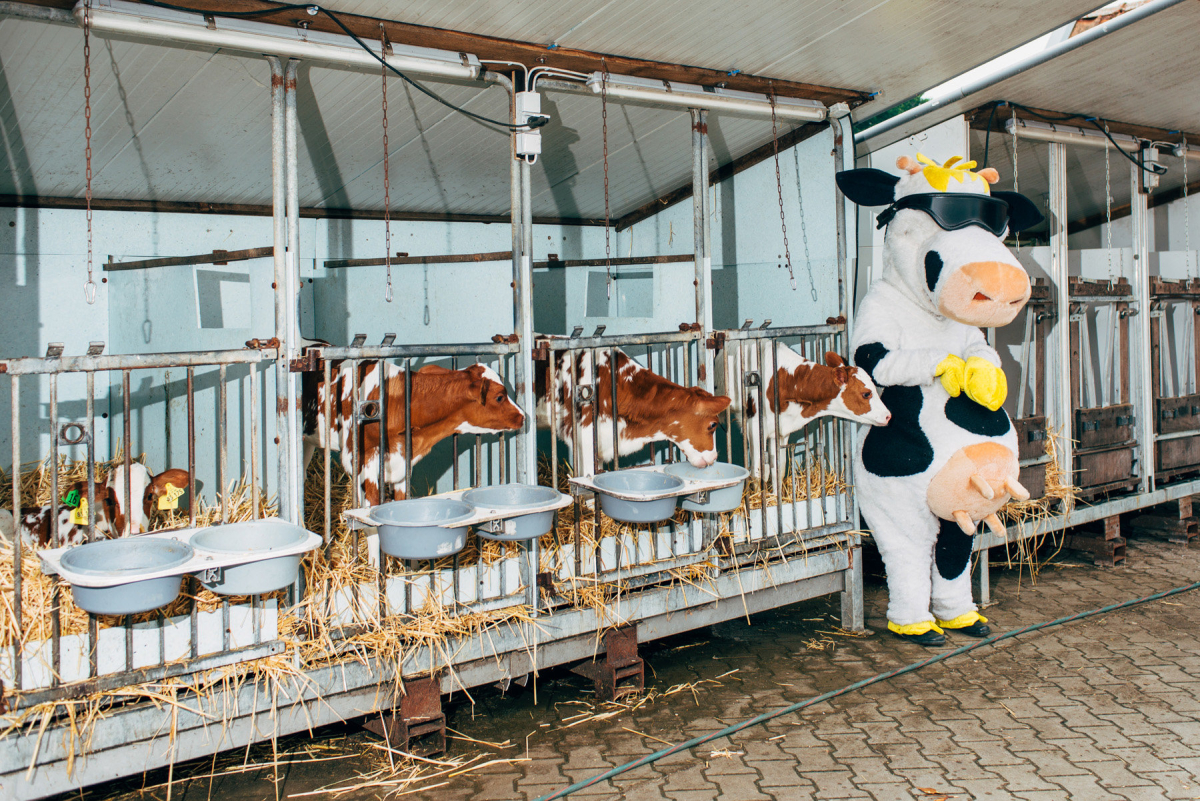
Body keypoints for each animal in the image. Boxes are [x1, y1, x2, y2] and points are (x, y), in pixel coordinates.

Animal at [720, 345, 892, 482]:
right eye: (866, 393)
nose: (888, 415)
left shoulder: (780, 431)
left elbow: (778, 471)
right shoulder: (754, 427)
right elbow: (757, 473)